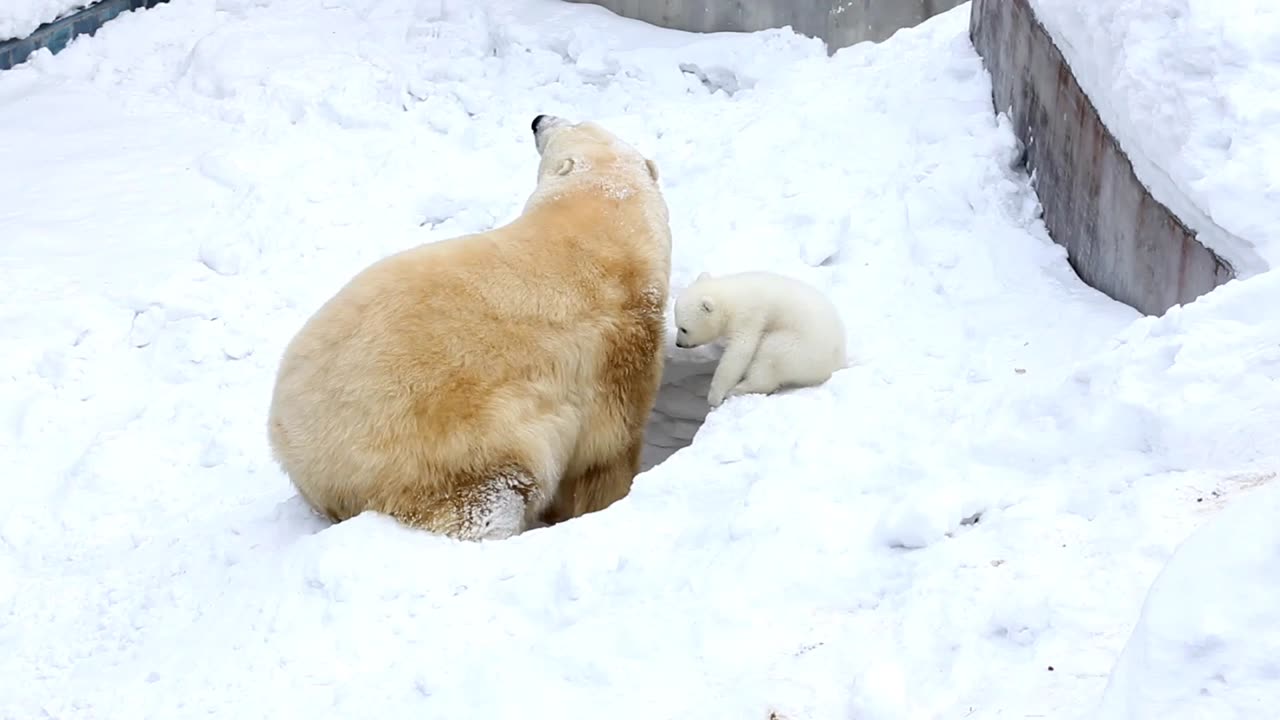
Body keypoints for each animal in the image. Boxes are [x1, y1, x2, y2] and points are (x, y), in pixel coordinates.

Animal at [266, 113, 675, 538]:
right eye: (576, 124)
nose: (538, 119)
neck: (597, 225)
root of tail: (289, 448)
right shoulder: (617, 346)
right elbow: (606, 453)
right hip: (439, 450)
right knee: (489, 499)